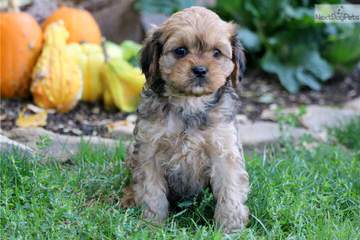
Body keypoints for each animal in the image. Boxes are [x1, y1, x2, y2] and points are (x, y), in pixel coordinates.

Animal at [122, 6, 249, 233]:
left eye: (217, 53)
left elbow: (230, 191)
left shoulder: (224, 151)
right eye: (180, 51)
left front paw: (230, 228)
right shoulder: (148, 151)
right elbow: (151, 193)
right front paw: (151, 224)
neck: (190, 103)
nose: (200, 70)